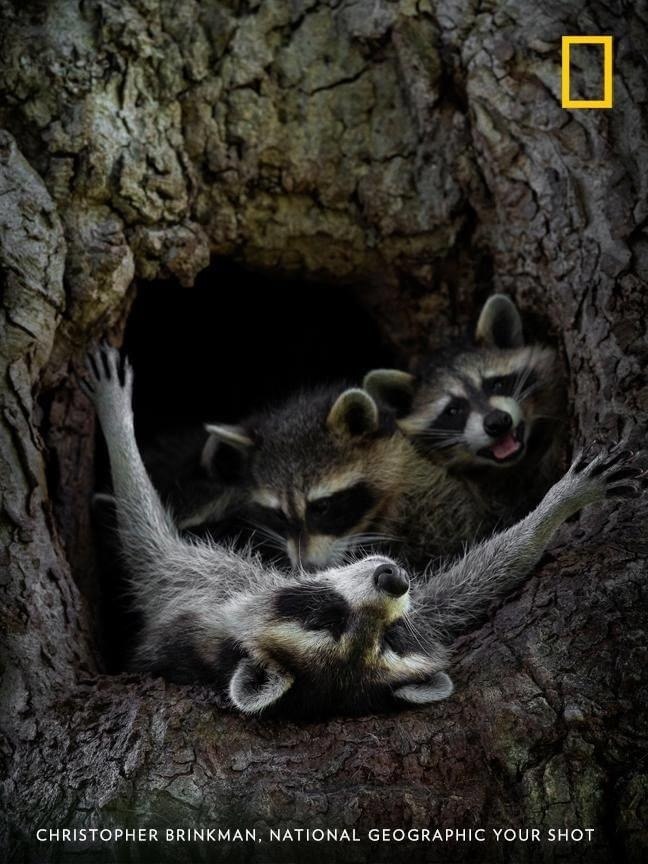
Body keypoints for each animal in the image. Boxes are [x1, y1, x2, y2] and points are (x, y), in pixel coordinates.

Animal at [82, 346, 643, 718]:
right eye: (327, 618)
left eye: (390, 639)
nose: (393, 579)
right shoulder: (202, 582)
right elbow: (144, 537)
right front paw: (117, 419)